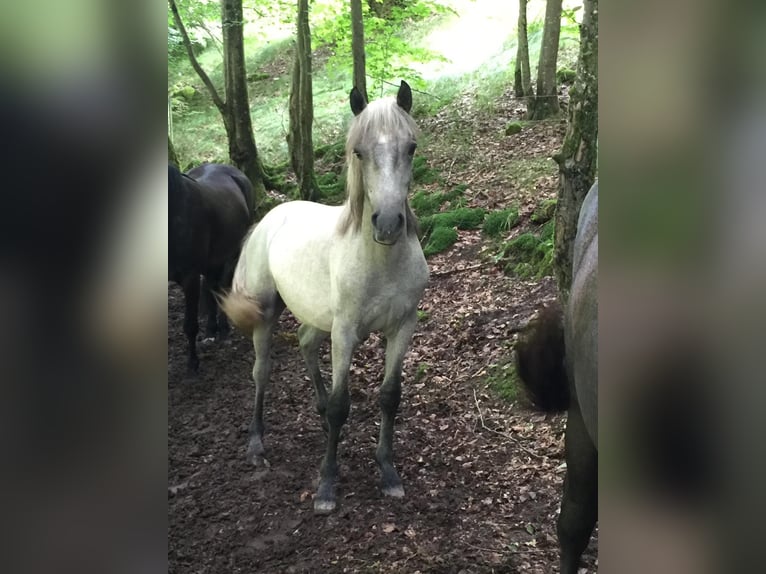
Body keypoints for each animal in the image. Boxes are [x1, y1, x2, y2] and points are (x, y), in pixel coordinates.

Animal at [168, 162, 254, 373]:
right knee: (211, 286)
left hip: (232, 252)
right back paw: (210, 330)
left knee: (222, 286)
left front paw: (192, 364)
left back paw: (222, 330)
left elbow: (190, 325)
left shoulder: (190, 277)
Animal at [221, 81, 428, 514]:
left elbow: (389, 396)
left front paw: (387, 471)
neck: (379, 261)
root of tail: (271, 217)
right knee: (261, 372)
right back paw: (256, 443)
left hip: (317, 319)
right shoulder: (345, 333)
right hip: (267, 314)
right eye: (359, 152)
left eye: (411, 147)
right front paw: (327, 484)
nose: (387, 225)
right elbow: (340, 406)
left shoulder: (402, 327)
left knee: (304, 343)